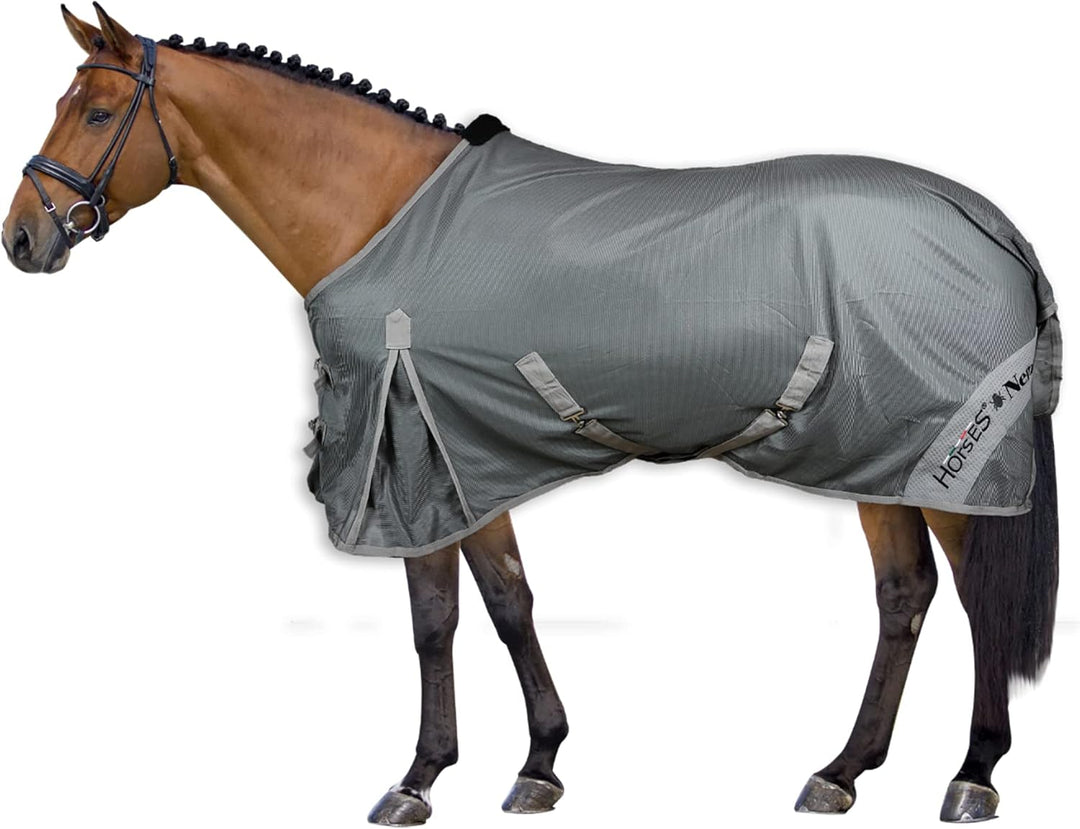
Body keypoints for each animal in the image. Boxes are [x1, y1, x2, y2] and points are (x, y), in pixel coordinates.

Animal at [1, 5, 1062, 825]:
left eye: (98, 111)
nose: (22, 238)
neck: (380, 216)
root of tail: (986, 218)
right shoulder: (455, 458)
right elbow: (489, 605)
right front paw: (515, 765)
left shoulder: (417, 448)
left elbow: (452, 615)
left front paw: (440, 776)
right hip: (877, 461)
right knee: (905, 596)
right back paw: (841, 772)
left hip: (940, 463)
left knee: (978, 601)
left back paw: (971, 774)